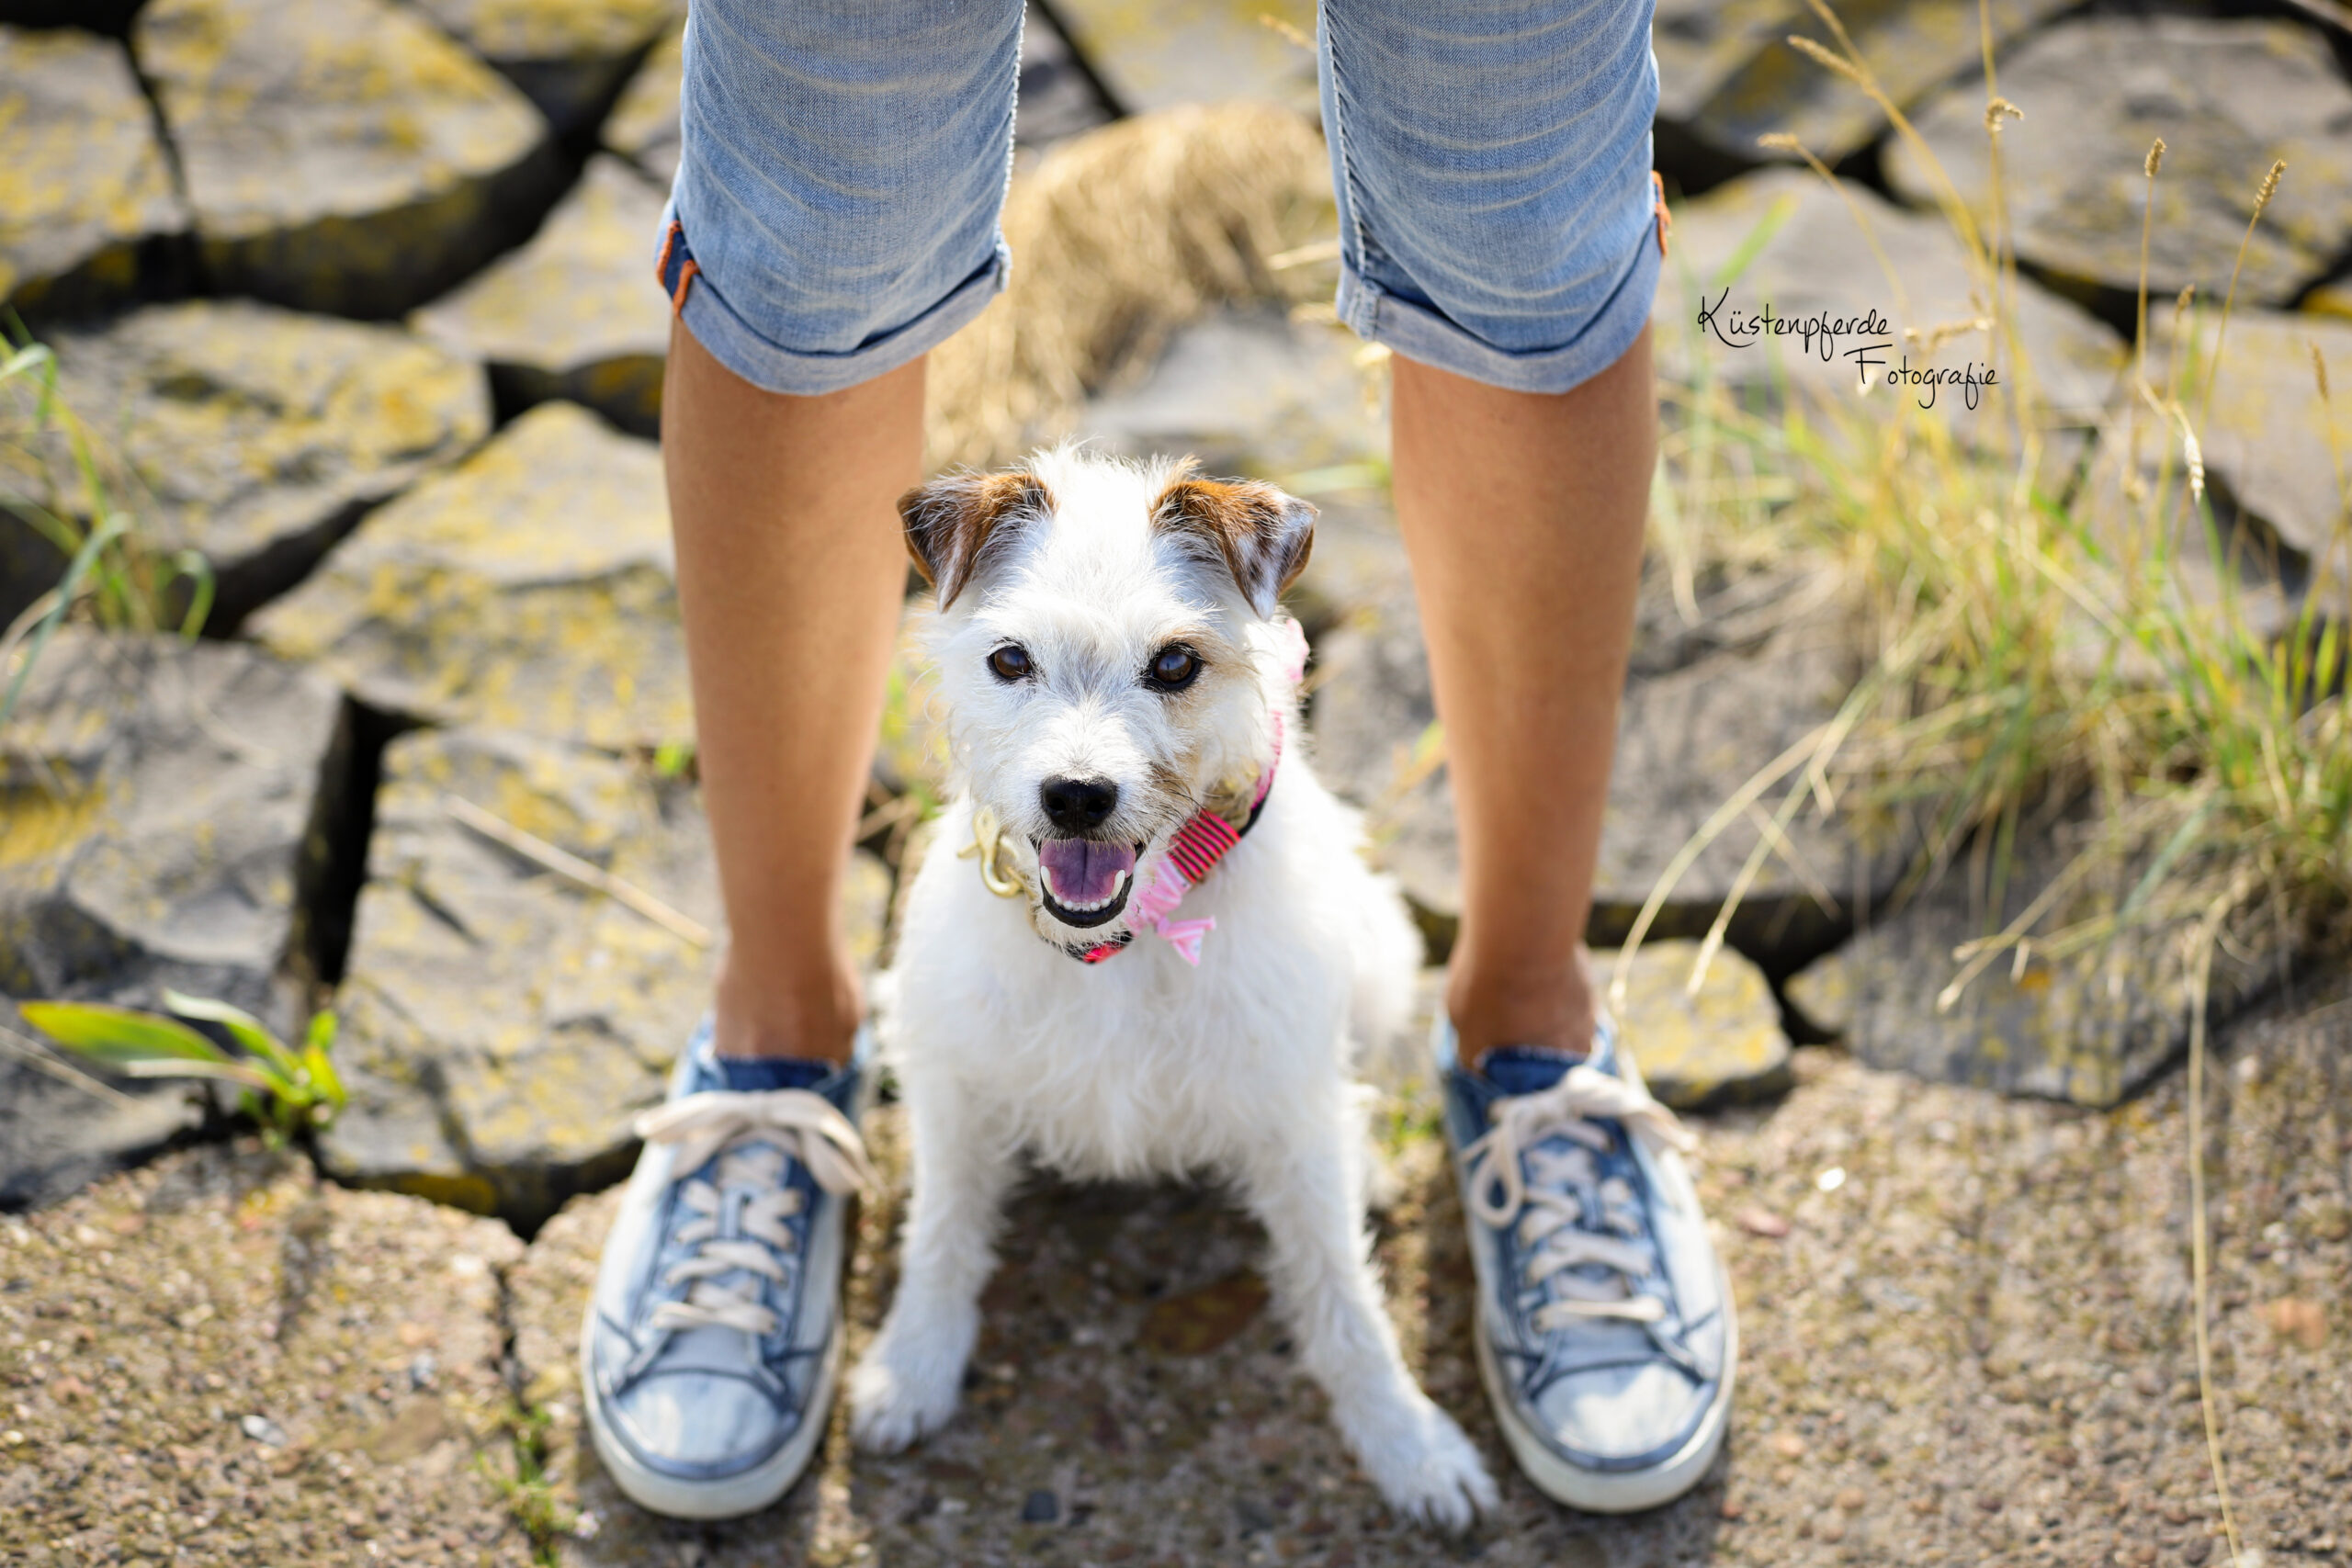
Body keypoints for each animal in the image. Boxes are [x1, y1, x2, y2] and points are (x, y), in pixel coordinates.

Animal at [855, 446, 1496, 1523]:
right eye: (1010, 660)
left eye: (1174, 665)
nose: (1077, 798)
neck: (1125, 938)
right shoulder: (953, 1082)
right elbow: (941, 1232)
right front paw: (912, 1370)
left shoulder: (1290, 1103)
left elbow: (1343, 1295)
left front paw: (1408, 1442)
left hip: (1380, 964)